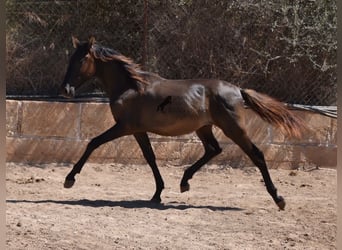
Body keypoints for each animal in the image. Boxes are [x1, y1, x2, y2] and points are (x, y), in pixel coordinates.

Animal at [58, 36, 304, 210]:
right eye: (70, 58)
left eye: (82, 59)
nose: (65, 90)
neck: (130, 87)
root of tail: (237, 90)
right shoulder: (138, 130)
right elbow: (150, 157)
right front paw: (157, 194)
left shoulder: (124, 127)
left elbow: (93, 142)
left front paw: (69, 179)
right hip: (204, 128)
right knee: (214, 149)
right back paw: (184, 182)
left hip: (233, 128)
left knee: (256, 154)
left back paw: (279, 199)